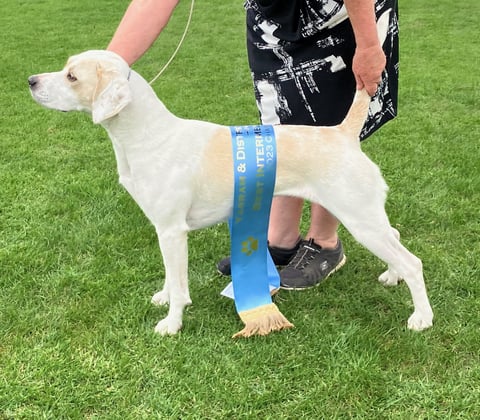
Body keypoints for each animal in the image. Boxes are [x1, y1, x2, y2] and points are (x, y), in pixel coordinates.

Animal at [29, 50, 436, 336]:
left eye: (72, 76)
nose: (31, 80)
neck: (147, 135)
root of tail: (342, 133)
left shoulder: (173, 231)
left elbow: (180, 284)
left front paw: (171, 323)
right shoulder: (163, 230)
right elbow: (169, 276)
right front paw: (163, 298)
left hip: (360, 219)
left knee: (413, 262)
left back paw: (421, 317)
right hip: (366, 217)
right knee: (397, 239)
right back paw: (392, 277)